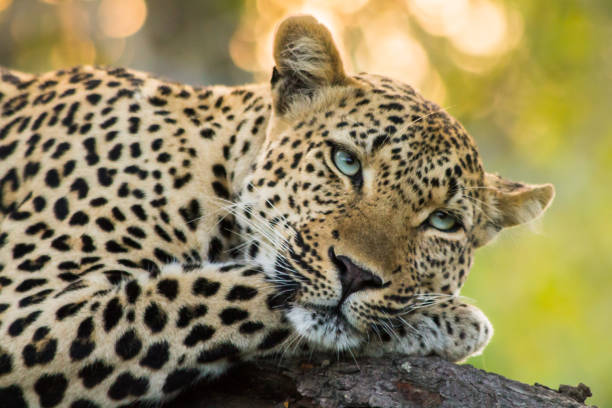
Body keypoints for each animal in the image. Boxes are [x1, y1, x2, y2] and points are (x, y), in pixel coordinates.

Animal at [0, 15, 556, 408]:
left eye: (443, 222)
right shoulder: (26, 312)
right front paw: (453, 319)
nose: (356, 274)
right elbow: (213, 288)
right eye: (346, 161)